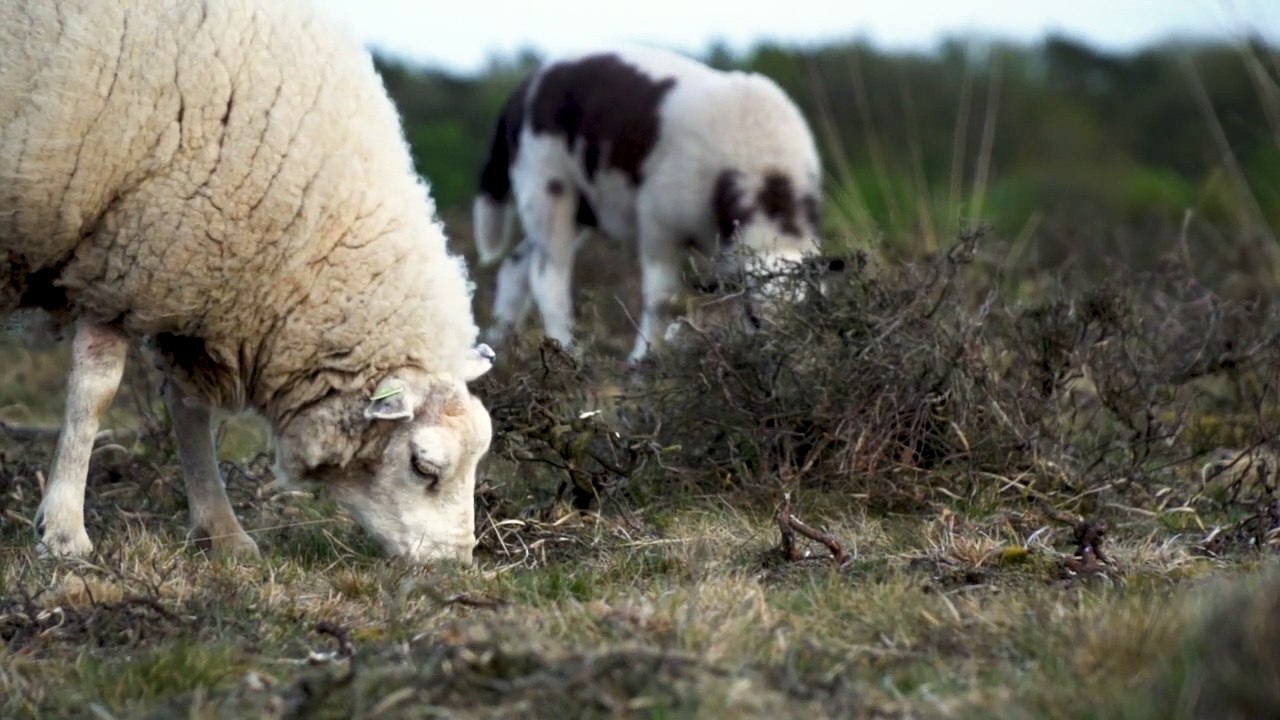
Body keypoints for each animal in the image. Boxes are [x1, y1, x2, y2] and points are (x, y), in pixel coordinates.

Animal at [0, 0, 494, 564]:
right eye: (424, 466)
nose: (455, 564)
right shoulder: (122, 255)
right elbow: (95, 392)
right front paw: (63, 532)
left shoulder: (178, 275)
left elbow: (191, 412)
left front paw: (222, 532)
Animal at [473, 47, 829, 363]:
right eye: (755, 317)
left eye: (806, 315)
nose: (782, 357)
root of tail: (523, 87)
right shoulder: (659, 221)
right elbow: (662, 298)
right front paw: (643, 362)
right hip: (545, 182)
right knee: (548, 277)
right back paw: (568, 354)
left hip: (582, 207)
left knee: (515, 267)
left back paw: (498, 347)